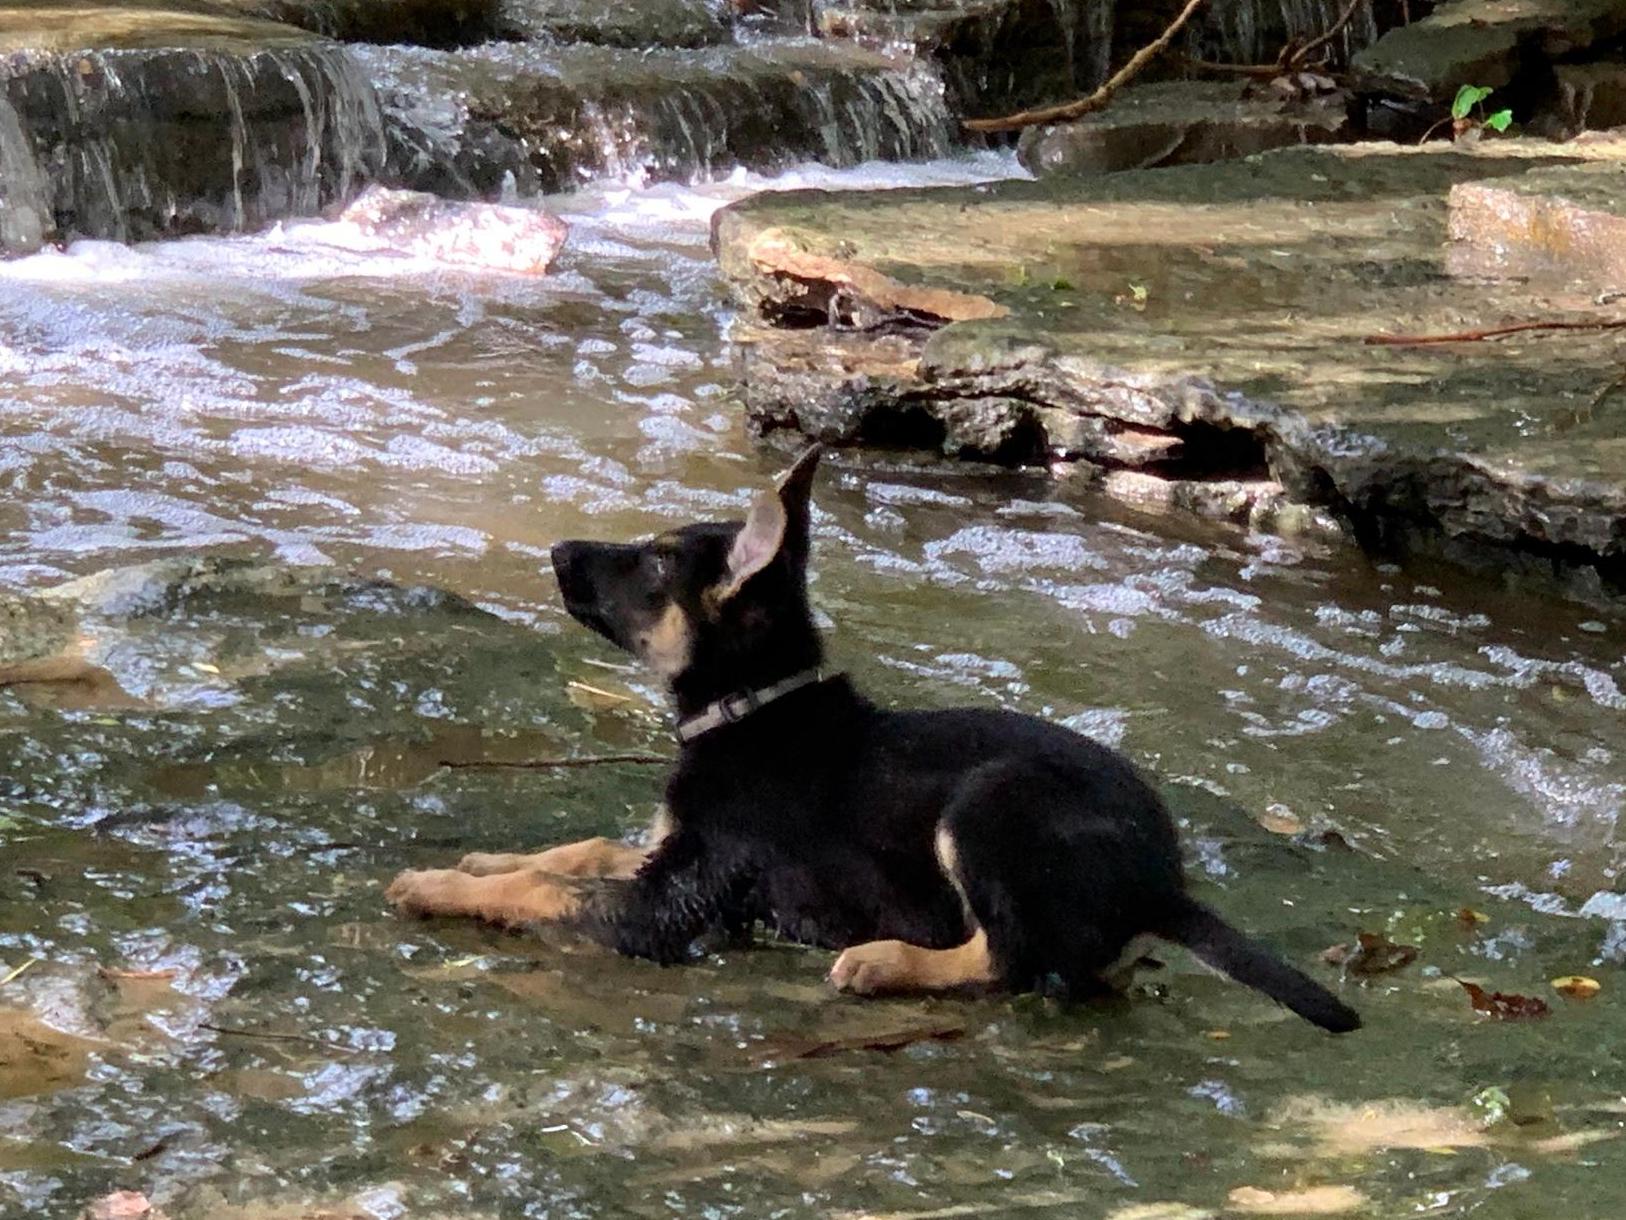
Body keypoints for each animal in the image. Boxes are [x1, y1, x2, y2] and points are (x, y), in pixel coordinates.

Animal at [390, 445, 1359, 1034]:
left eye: (655, 563)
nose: (555, 551)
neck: (752, 705)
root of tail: (1162, 882)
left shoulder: (675, 903)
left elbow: (544, 889)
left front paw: (438, 884)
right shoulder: (668, 851)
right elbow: (576, 849)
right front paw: (481, 859)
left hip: (989, 802)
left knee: (1008, 960)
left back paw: (885, 962)